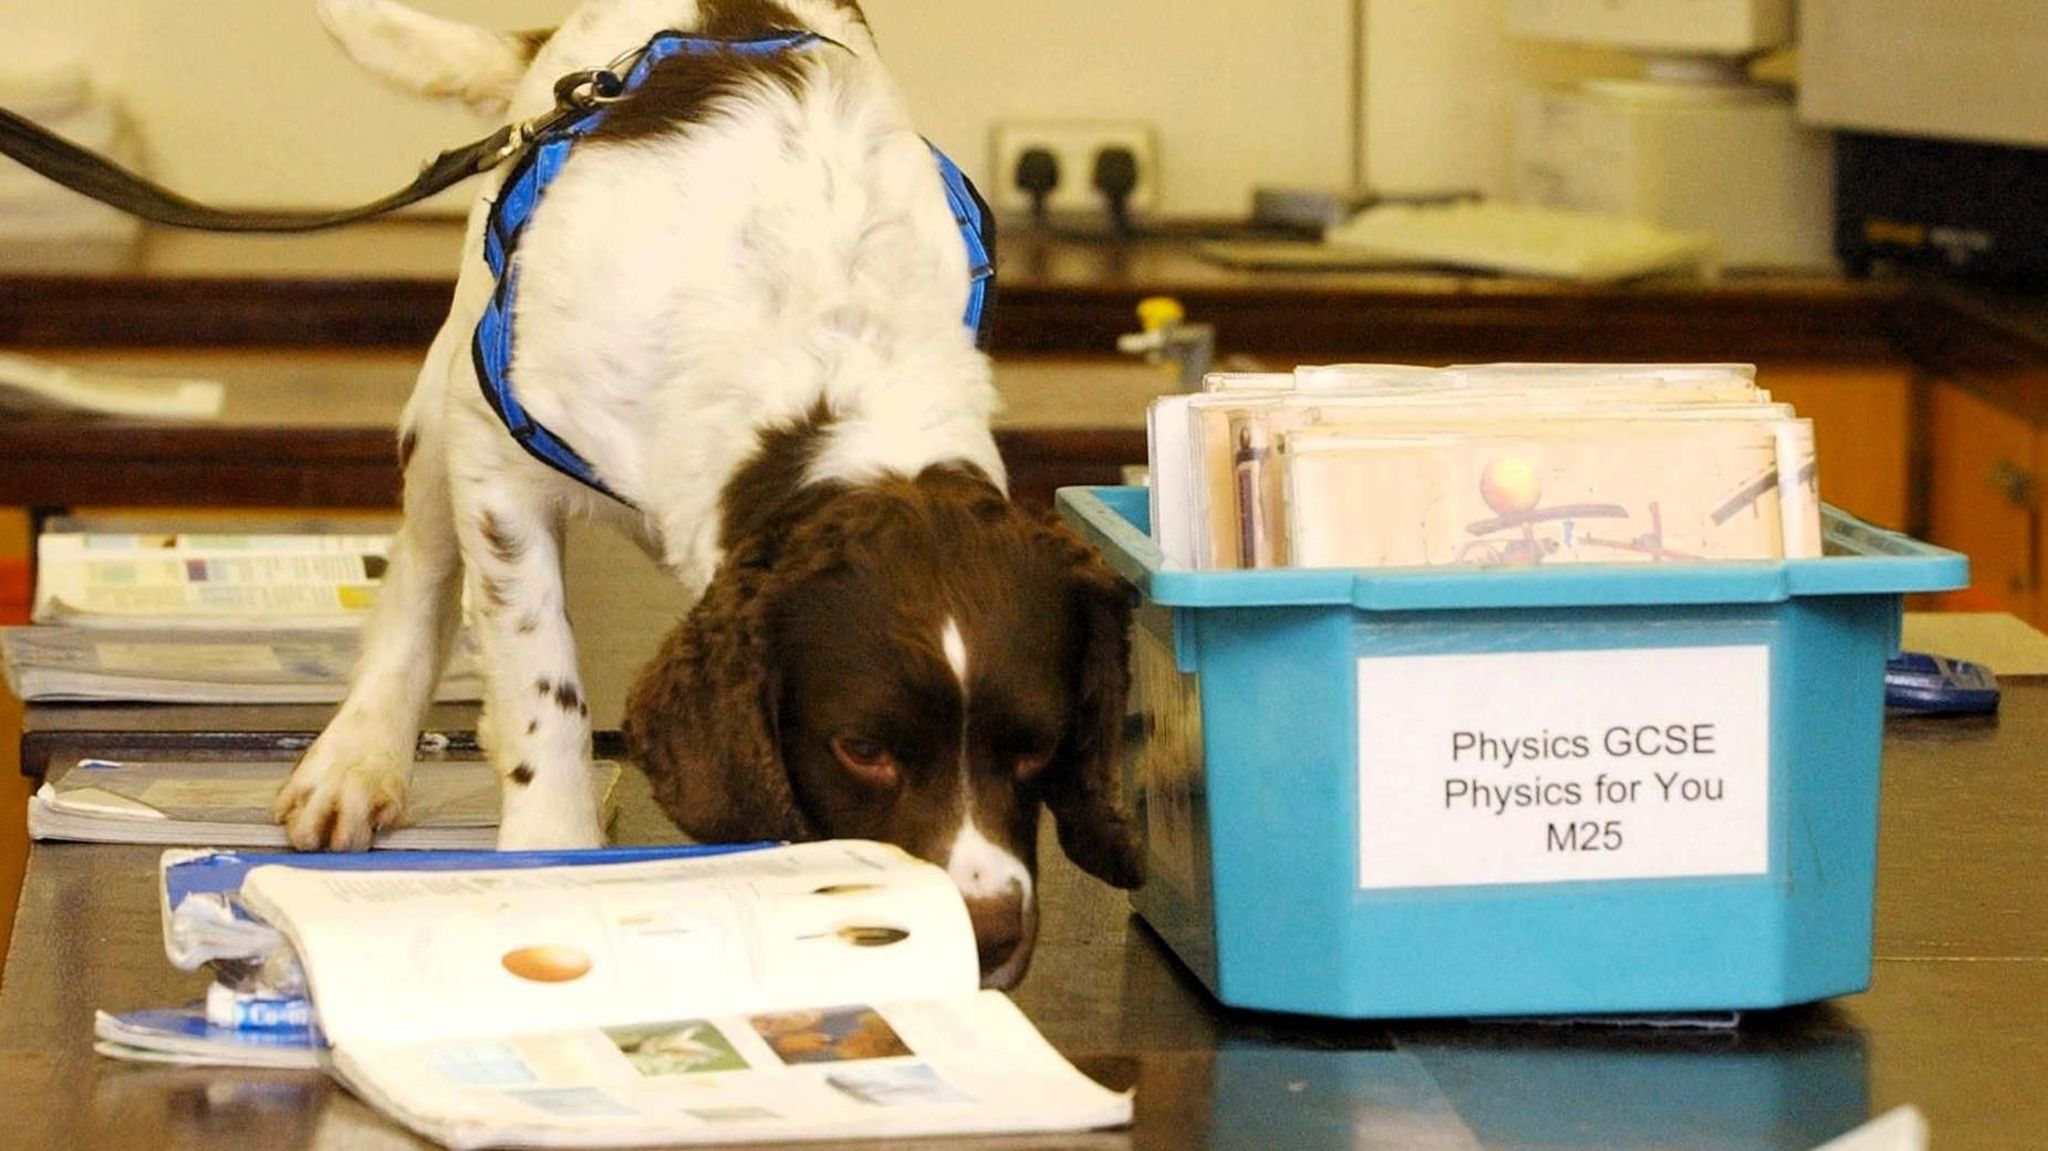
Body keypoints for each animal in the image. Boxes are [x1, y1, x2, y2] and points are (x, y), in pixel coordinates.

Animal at [282, 2, 1155, 987]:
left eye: (1040, 743)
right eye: (861, 749)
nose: (989, 937)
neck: (827, 345)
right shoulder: (499, 455)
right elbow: (542, 677)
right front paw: (551, 842)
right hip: (452, 379)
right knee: (426, 566)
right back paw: (359, 755)